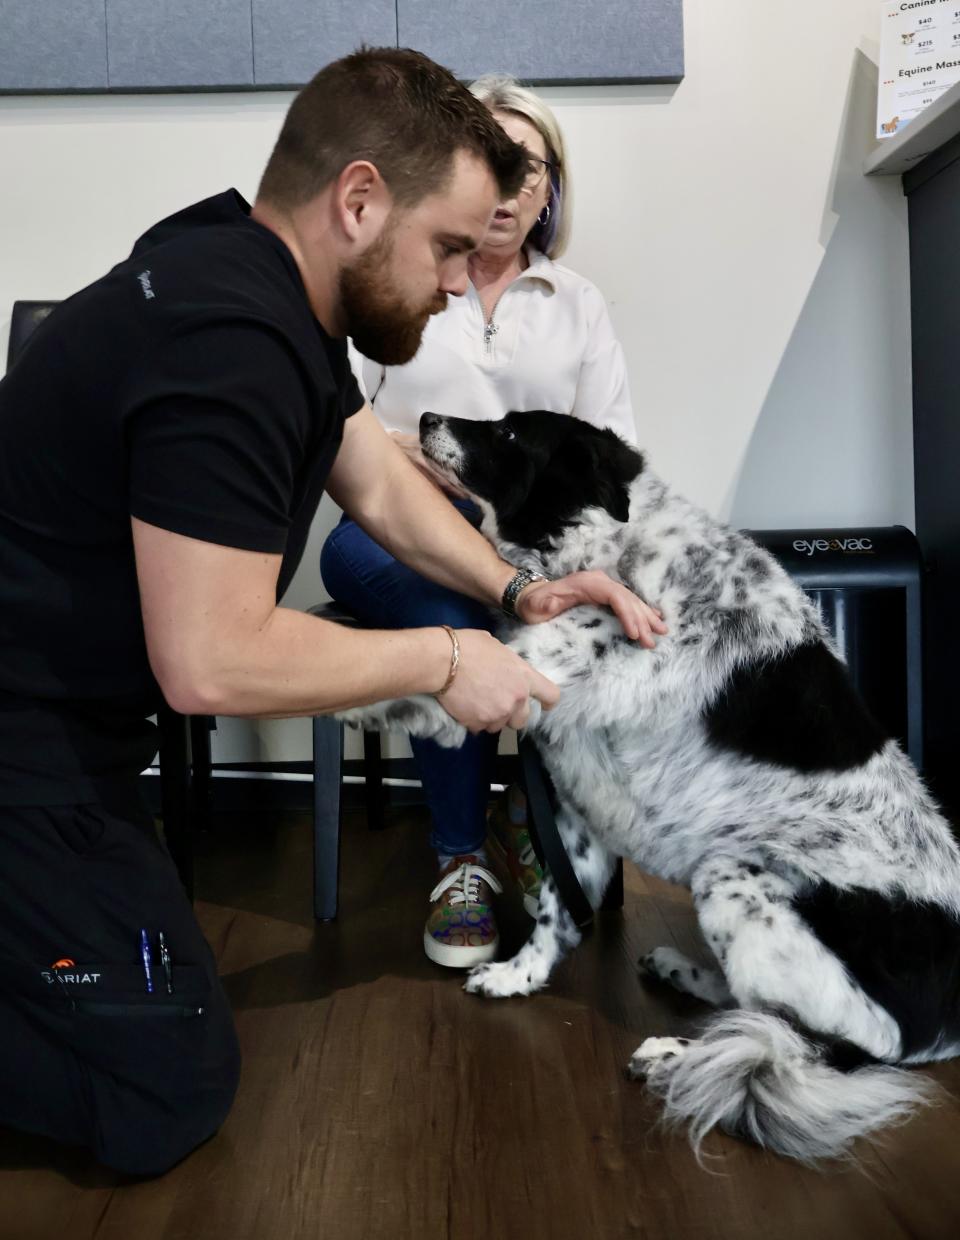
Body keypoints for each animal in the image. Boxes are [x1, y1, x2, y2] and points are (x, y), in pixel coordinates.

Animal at [342, 409, 960, 1160]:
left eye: (512, 433)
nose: (427, 417)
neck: (612, 552)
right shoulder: (578, 806)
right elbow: (555, 914)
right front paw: (520, 977)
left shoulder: (521, 674)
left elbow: (434, 666)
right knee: (755, 1008)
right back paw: (680, 974)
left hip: (735, 880)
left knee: (814, 1043)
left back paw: (678, 1053)